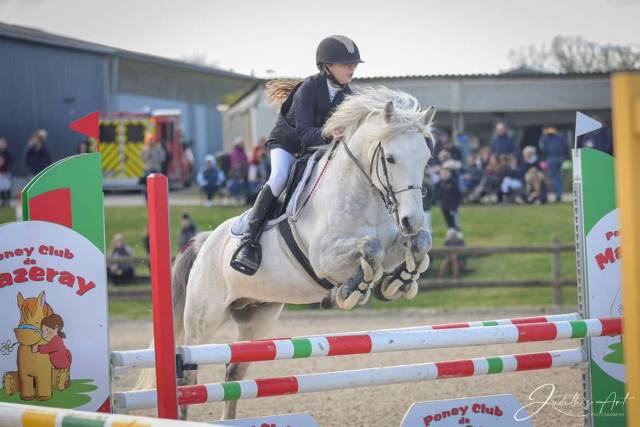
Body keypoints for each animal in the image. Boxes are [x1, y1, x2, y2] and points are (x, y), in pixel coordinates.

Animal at [140, 87, 435, 420]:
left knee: (234, 372)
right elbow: (370, 248)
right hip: (204, 317)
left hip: (257, 318)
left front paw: (398, 281)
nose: (411, 220)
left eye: (426, 158)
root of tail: (204, 243)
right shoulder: (325, 258)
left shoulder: (392, 246)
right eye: (390, 158)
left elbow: (418, 244)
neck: (362, 193)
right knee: (190, 374)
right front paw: (350, 291)